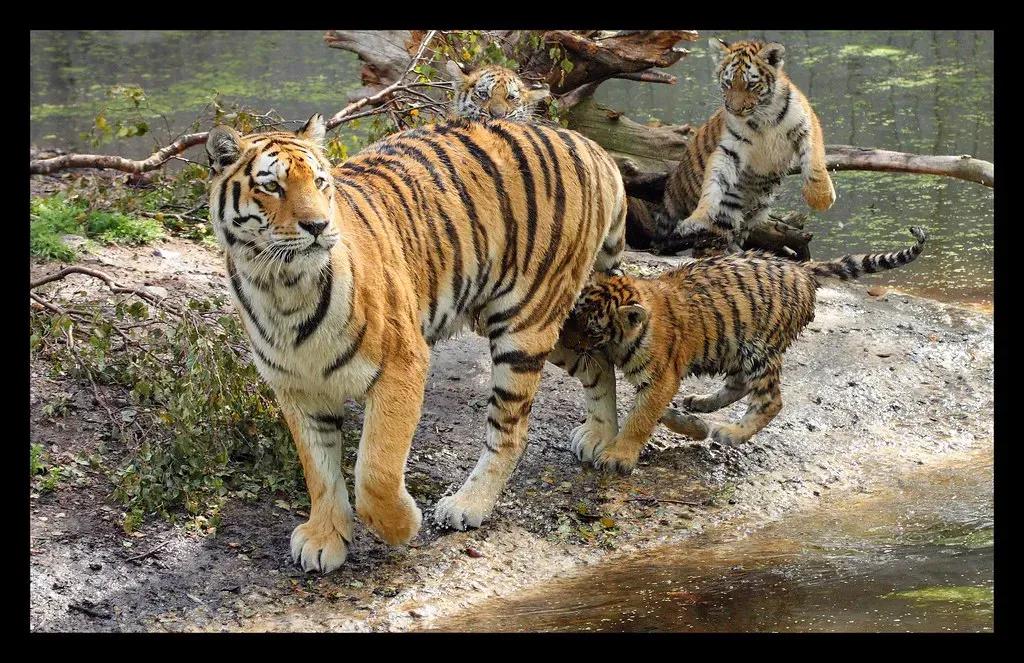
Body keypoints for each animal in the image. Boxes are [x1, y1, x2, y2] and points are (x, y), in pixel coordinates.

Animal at [205, 113, 627, 573]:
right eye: (272, 187)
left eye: (319, 182)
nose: (318, 227)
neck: (281, 289)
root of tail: (589, 144)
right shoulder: (297, 386)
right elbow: (318, 469)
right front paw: (325, 538)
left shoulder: (401, 365)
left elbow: (376, 469)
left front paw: (401, 526)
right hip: (553, 323)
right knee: (599, 360)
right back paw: (600, 435)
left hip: (527, 322)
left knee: (511, 431)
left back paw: (467, 505)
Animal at [560, 226, 928, 474]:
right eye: (572, 316)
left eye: (592, 330)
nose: (566, 344)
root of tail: (800, 267)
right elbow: (645, 410)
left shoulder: (661, 377)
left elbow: (640, 418)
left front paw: (618, 457)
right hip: (733, 345)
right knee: (738, 385)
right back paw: (700, 405)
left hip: (759, 349)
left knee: (770, 400)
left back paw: (731, 432)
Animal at [650, 38, 836, 255]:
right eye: (728, 83)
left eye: (751, 84)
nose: (735, 109)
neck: (764, 115)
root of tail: (674, 183)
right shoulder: (731, 148)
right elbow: (713, 182)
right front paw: (698, 217)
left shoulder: (806, 125)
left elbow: (814, 160)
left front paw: (820, 198)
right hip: (726, 209)